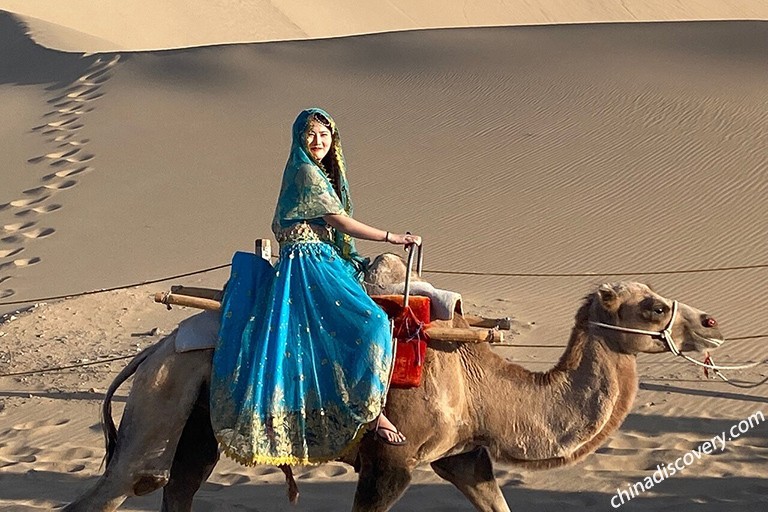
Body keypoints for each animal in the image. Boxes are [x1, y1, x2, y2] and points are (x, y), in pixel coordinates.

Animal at [63, 268, 724, 508]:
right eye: (653, 306)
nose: (711, 322)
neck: (479, 386)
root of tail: (151, 354)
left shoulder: (461, 456)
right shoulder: (392, 461)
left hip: (192, 430)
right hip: (164, 404)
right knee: (124, 484)